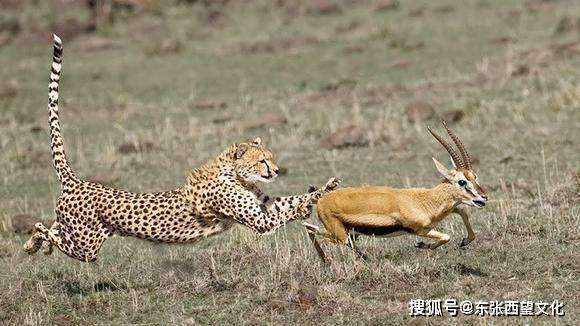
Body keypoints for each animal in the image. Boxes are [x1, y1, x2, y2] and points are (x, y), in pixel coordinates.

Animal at [23, 34, 340, 262]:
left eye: (270, 158)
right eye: (262, 161)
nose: (275, 170)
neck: (236, 175)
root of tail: (78, 182)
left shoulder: (263, 205)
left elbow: (293, 199)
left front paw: (324, 188)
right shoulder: (260, 219)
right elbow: (288, 210)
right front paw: (313, 201)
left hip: (80, 238)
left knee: (52, 228)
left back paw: (32, 244)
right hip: (86, 246)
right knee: (46, 229)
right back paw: (34, 242)